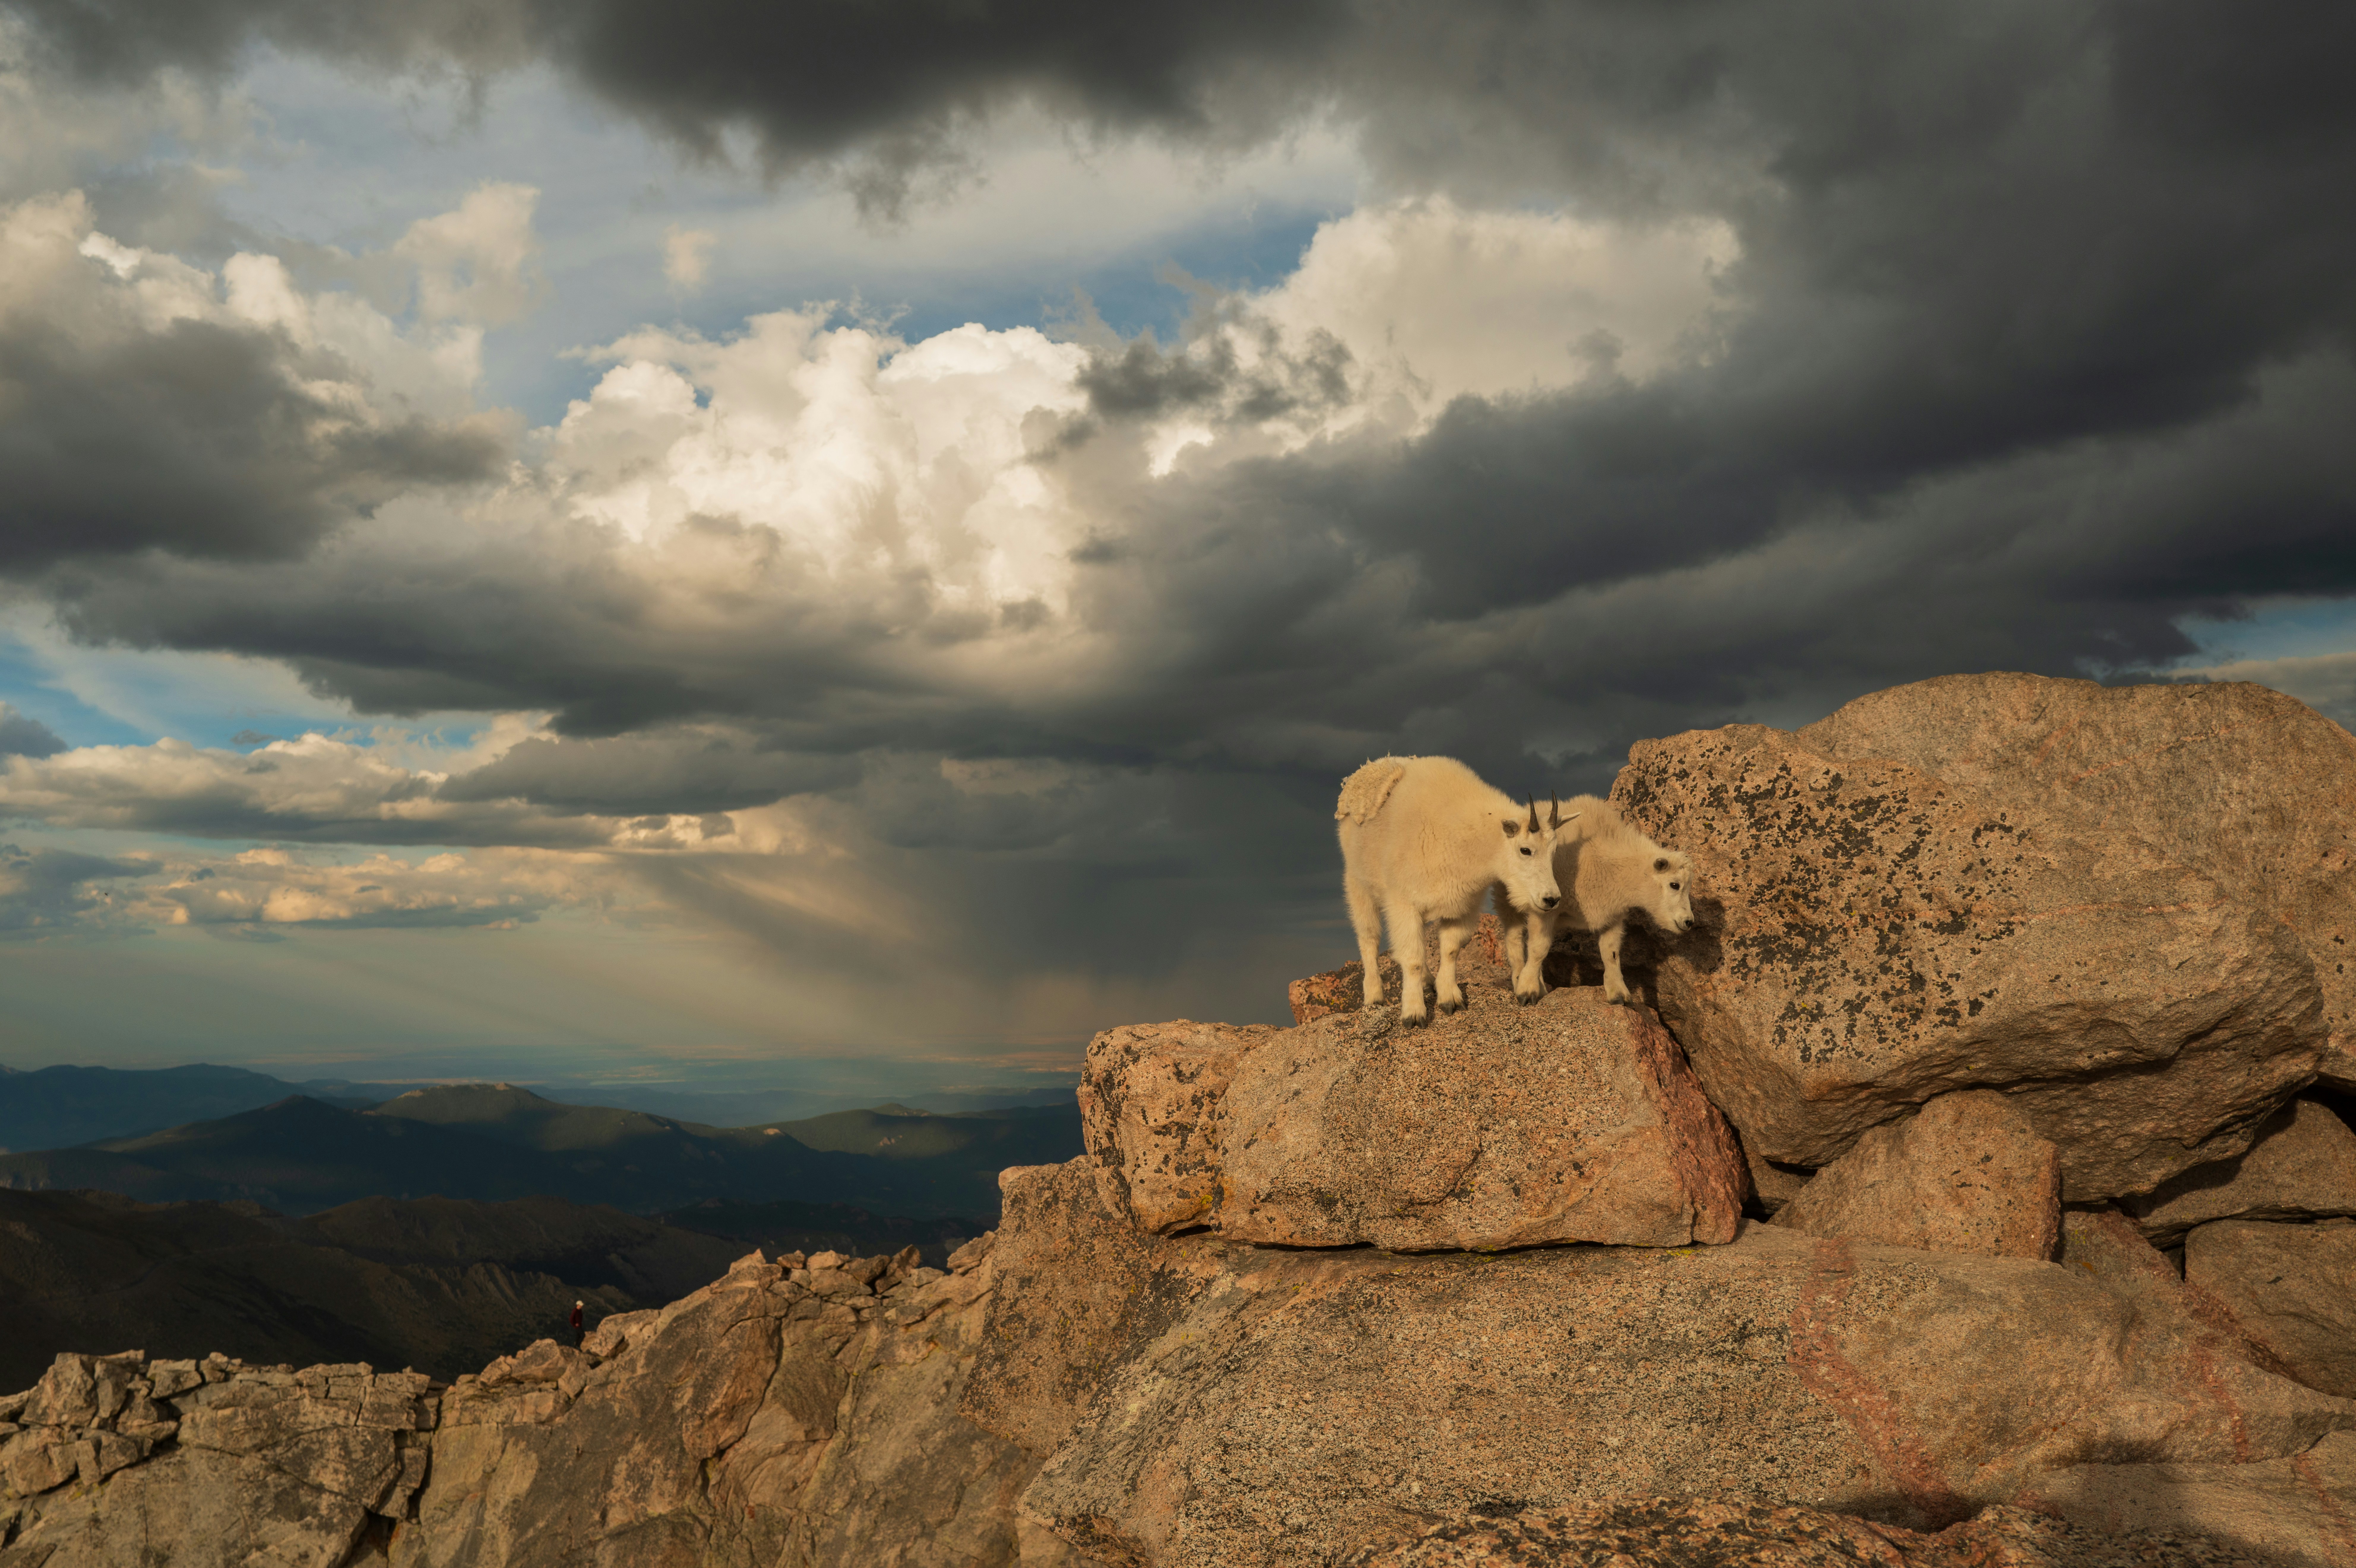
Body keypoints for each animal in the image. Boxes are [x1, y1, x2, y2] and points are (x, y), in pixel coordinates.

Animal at [1336, 756, 1576, 1025]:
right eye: (1525, 850)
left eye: (1554, 852)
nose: (1551, 899)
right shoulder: (1403, 904)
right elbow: (1412, 958)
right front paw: (1414, 1014)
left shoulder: (1462, 906)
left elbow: (1450, 951)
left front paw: (1449, 999)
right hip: (1357, 883)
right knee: (1369, 938)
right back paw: (1374, 997)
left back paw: (1428, 983)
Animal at [1496, 794, 1694, 1006]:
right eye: (1675, 885)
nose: (1689, 922)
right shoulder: (1546, 908)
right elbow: (1539, 948)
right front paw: (1527, 991)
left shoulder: (1614, 916)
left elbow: (1611, 954)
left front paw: (1619, 995)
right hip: (1506, 899)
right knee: (1515, 940)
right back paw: (1523, 980)